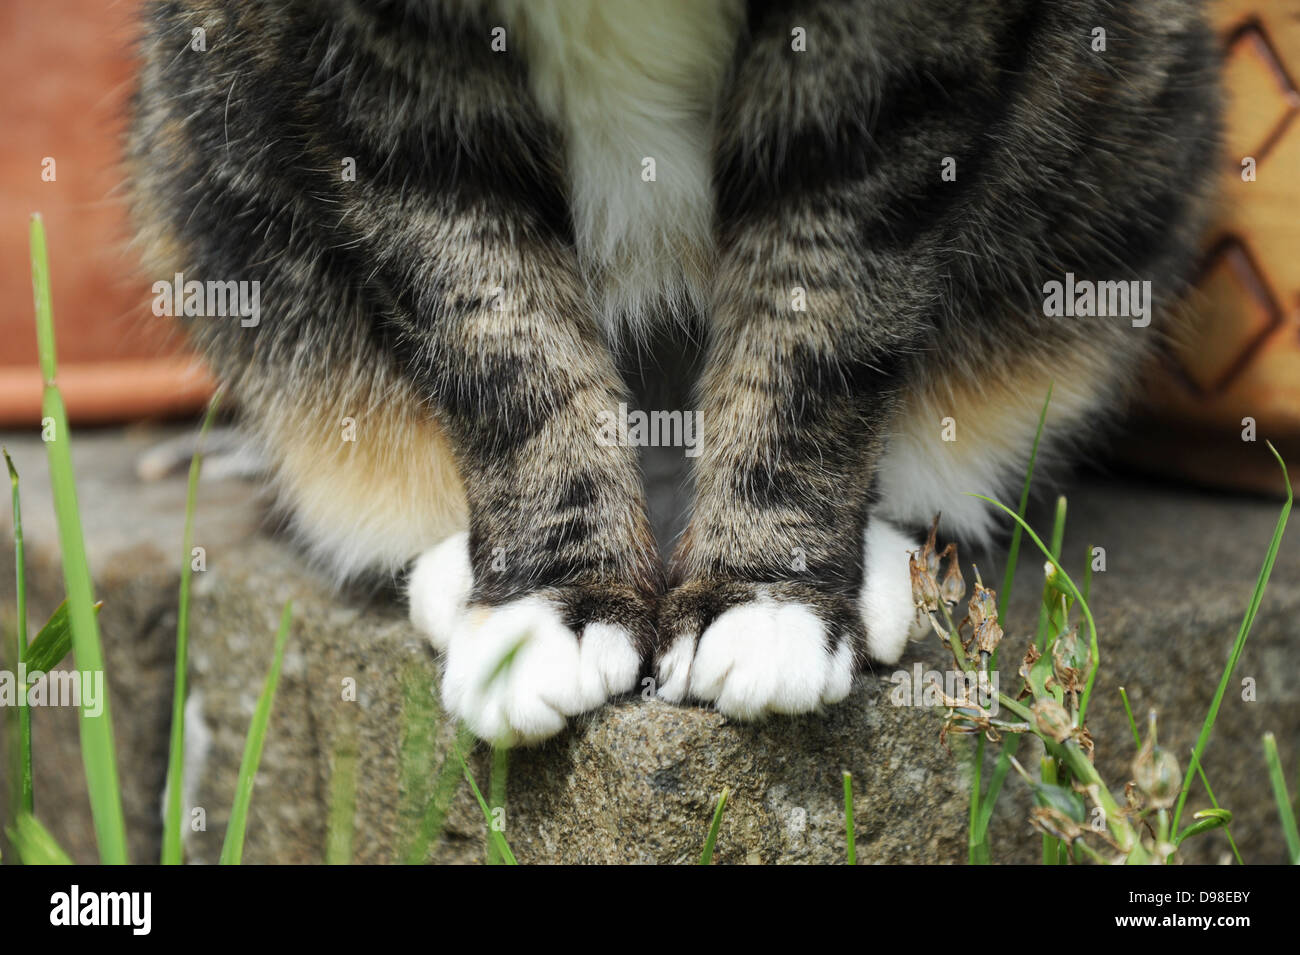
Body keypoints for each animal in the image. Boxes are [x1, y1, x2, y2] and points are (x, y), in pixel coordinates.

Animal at [129, 0, 1216, 748]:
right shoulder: (386, 89)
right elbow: (505, 337)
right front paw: (546, 607)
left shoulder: (885, 75)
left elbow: (809, 322)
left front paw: (768, 598)